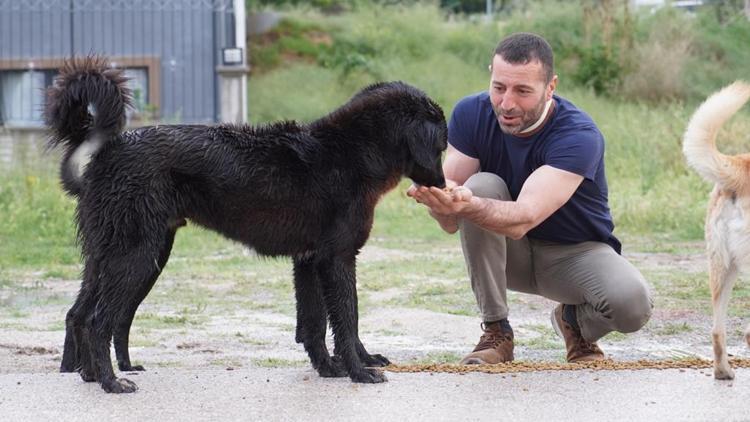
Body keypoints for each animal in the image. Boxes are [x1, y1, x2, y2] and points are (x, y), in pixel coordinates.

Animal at [48, 56, 446, 392]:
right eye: (442, 146)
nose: (443, 185)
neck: (352, 152)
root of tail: (108, 149)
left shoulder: (309, 261)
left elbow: (314, 326)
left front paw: (329, 369)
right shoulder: (337, 260)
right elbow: (348, 321)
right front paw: (359, 372)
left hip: (118, 257)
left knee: (80, 314)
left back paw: (90, 375)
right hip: (136, 258)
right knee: (99, 321)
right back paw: (112, 383)